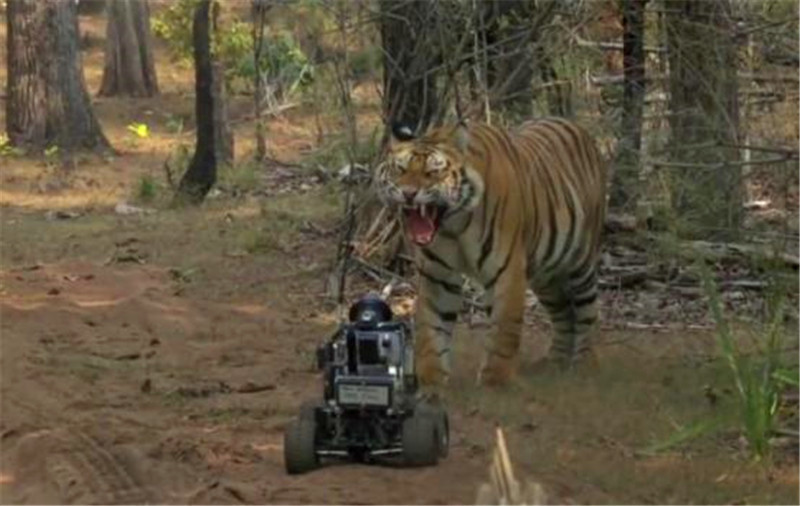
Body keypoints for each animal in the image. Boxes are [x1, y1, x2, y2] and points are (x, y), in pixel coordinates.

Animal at [376, 118, 608, 388]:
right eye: (400, 170)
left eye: (433, 172)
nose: (408, 193)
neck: (454, 226)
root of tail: (578, 128)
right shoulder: (437, 275)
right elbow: (431, 327)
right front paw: (431, 381)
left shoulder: (507, 271)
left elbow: (503, 329)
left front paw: (495, 382)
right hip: (546, 274)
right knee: (564, 313)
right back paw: (555, 363)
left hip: (580, 263)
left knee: (587, 312)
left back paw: (584, 365)